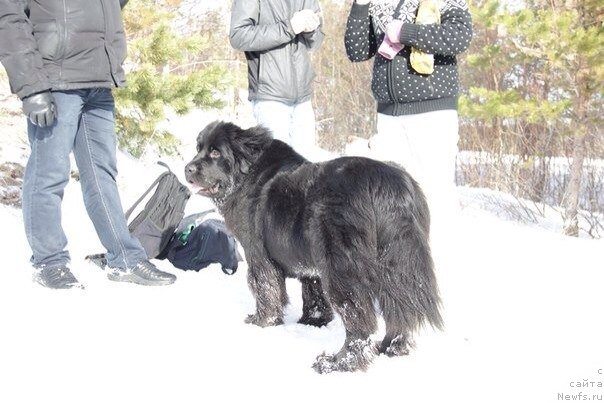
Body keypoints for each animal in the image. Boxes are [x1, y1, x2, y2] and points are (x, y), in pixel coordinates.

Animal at [184, 121, 444, 374]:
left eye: (216, 152)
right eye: (198, 148)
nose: (187, 169)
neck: (248, 177)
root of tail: (387, 185)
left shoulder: (257, 255)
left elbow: (263, 288)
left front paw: (262, 321)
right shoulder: (310, 262)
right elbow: (313, 293)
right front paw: (313, 321)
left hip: (343, 268)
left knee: (359, 320)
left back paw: (338, 363)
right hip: (395, 266)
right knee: (399, 309)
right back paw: (391, 348)